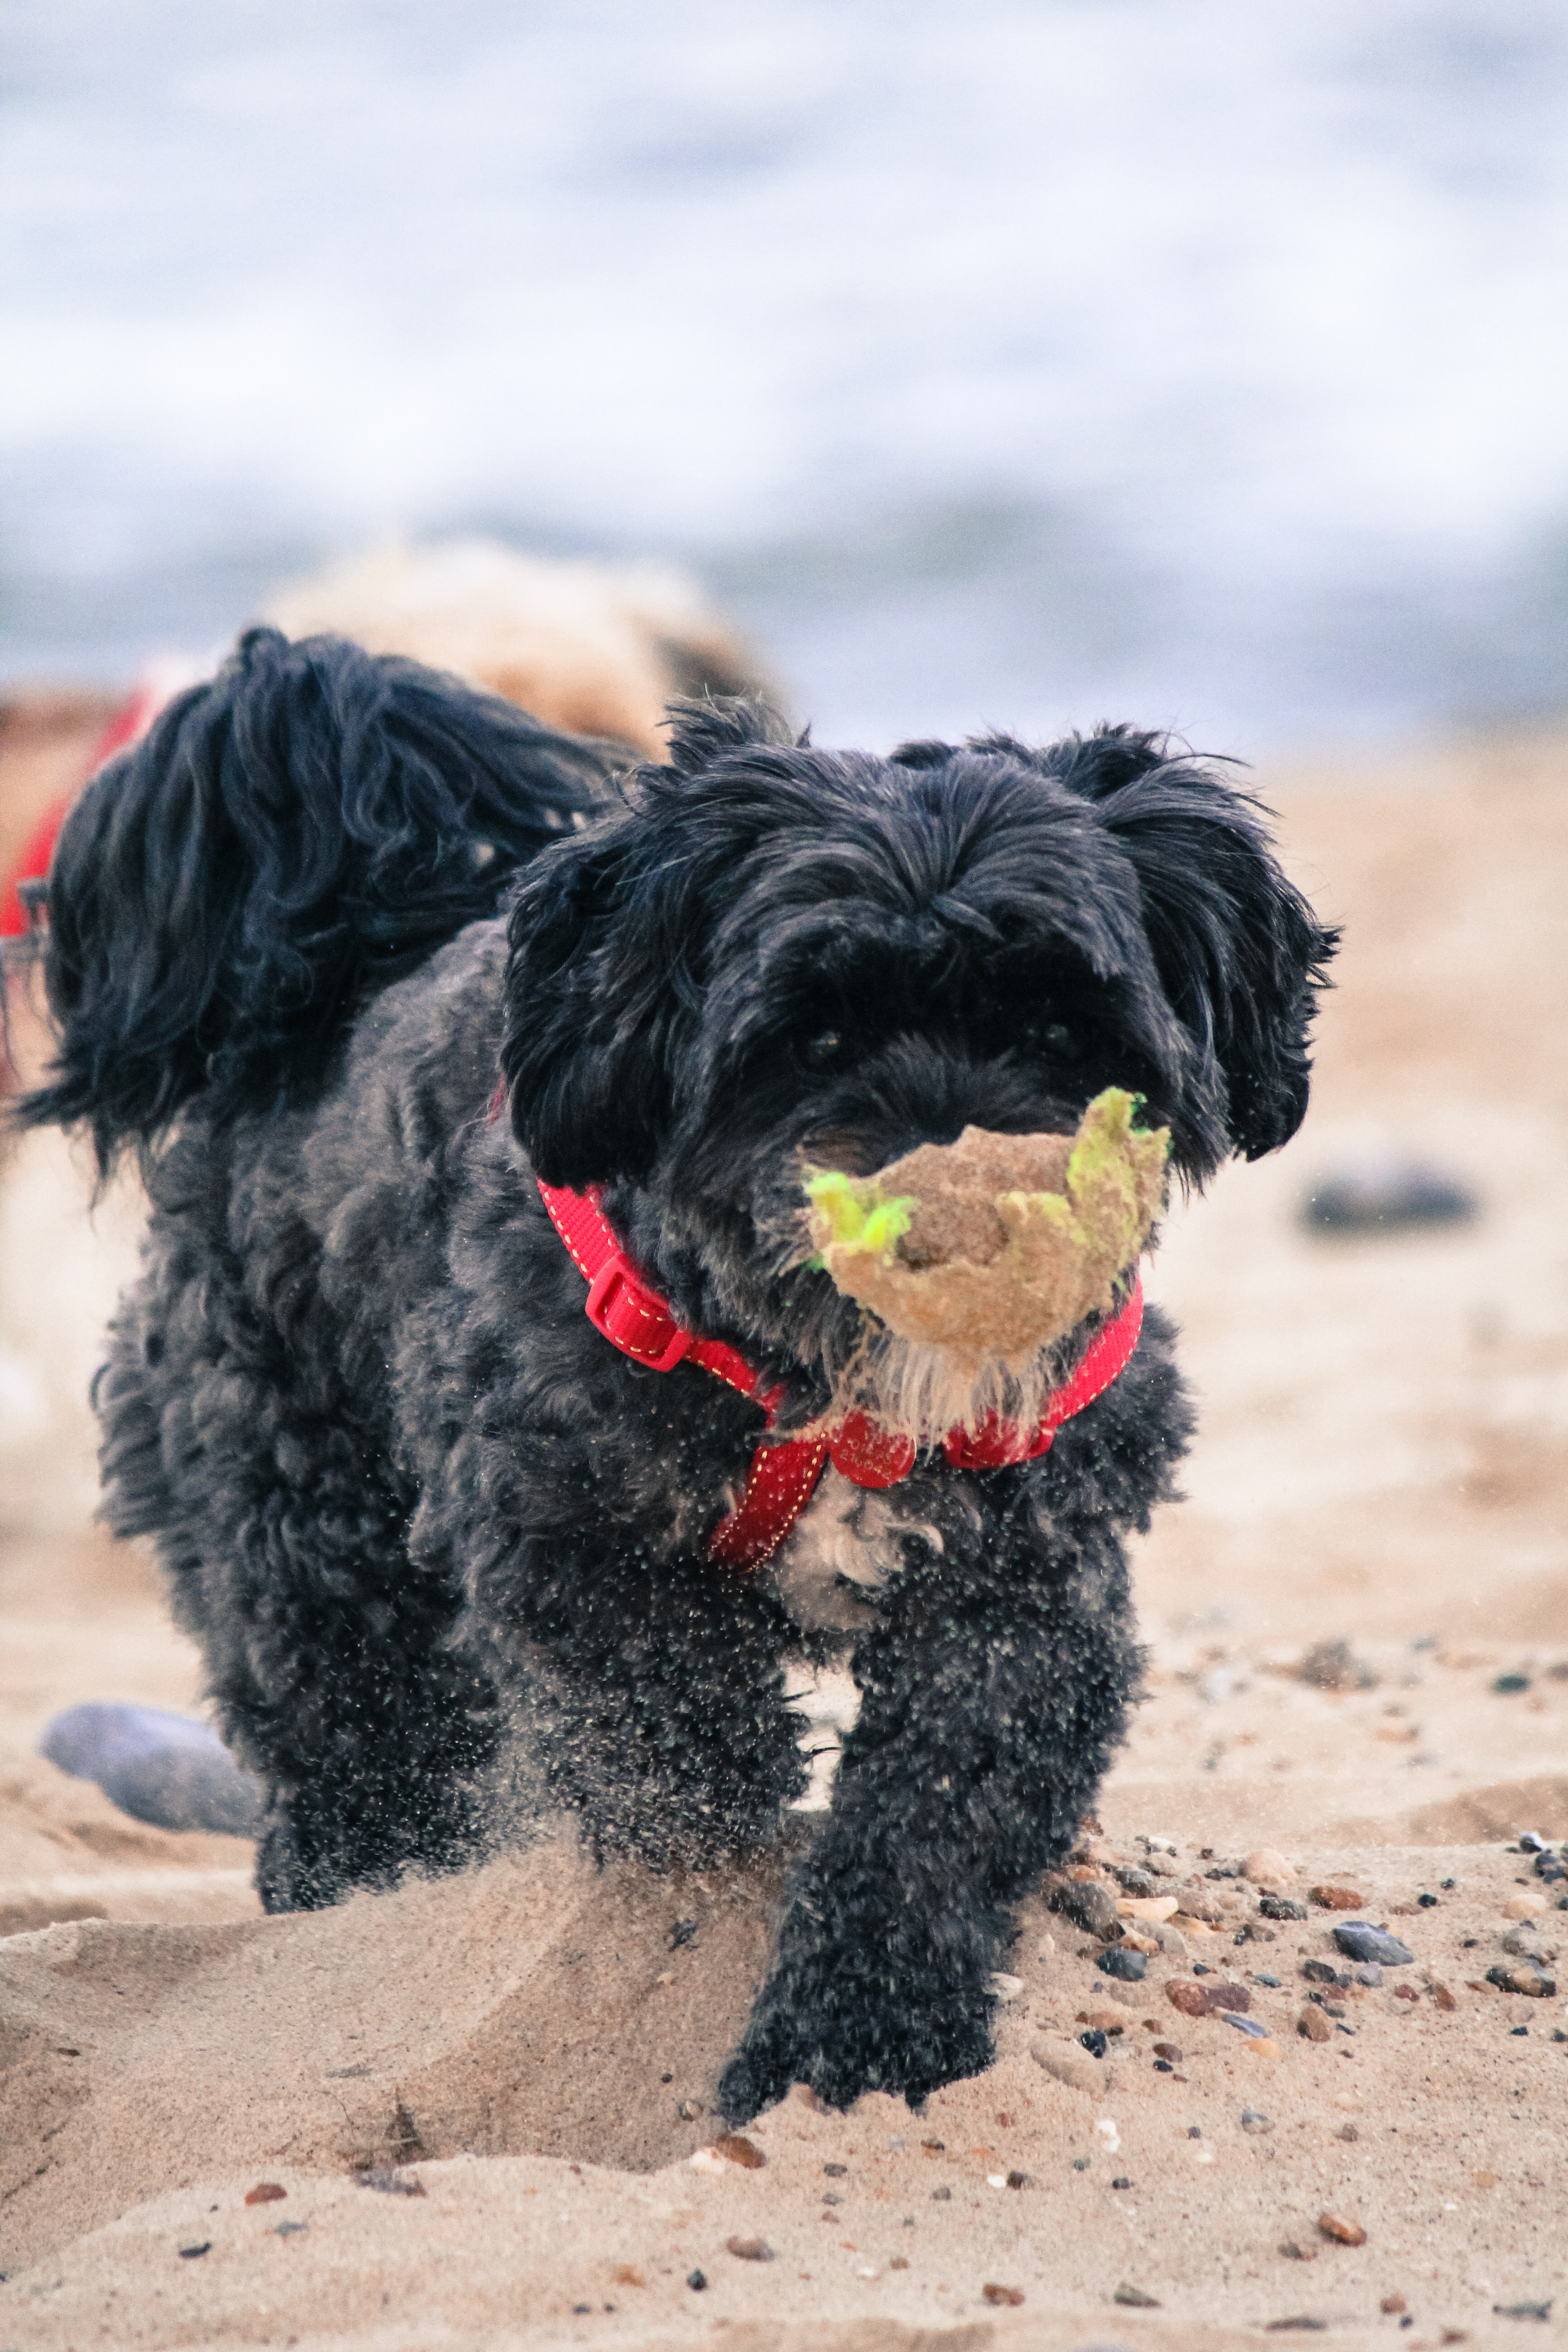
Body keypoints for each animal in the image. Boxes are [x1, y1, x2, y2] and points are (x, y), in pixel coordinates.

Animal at [18, 625, 1335, 2117]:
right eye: (812, 1036)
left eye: (1063, 1034)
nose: (949, 1199)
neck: (833, 1399)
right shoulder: (574, 1549)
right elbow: (682, 1755)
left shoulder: (1029, 1587)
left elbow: (938, 1804)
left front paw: (861, 2034)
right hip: (296, 1508)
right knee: (346, 1720)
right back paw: (373, 1905)